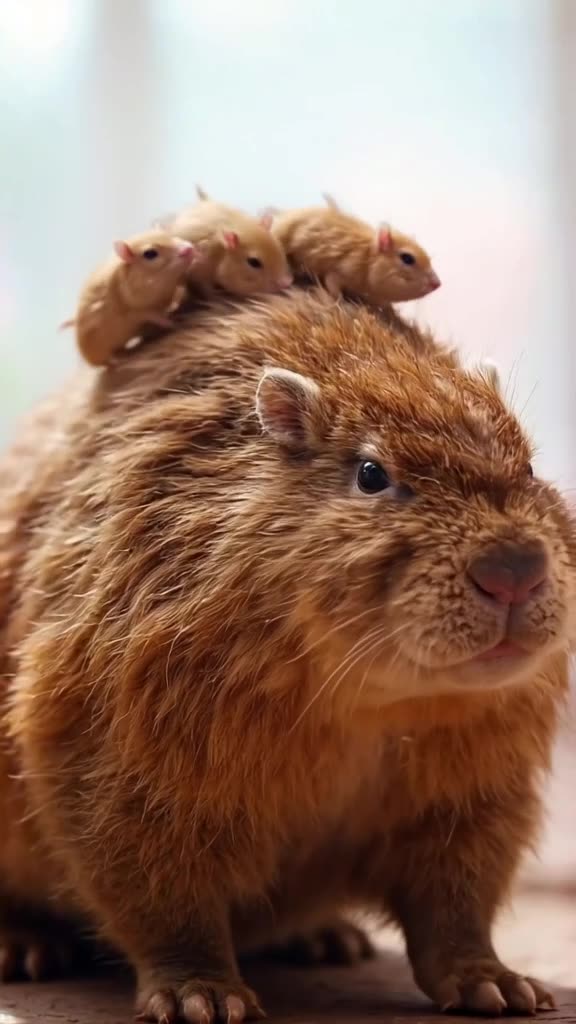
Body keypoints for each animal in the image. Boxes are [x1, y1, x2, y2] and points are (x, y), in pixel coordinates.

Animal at [1, 291, 569, 1022]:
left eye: (527, 466)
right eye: (370, 474)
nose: (513, 571)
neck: (366, 707)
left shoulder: (473, 790)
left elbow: (456, 906)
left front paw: (496, 984)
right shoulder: (121, 766)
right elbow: (161, 899)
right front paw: (201, 996)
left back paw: (326, 938)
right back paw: (22, 948)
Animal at [67, 231, 197, 367]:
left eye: (170, 235)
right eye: (150, 253)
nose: (190, 249)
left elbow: (180, 285)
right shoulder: (136, 310)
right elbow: (153, 316)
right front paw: (172, 322)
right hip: (101, 353)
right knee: (110, 359)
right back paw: (120, 359)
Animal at [162, 186, 293, 297]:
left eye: (280, 248)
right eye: (254, 262)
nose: (287, 282)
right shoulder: (199, 269)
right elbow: (205, 288)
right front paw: (216, 295)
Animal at [269, 199, 440, 304]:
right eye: (407, 258)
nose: (438, 284)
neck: (368, 256)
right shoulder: (341, 271)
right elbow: (333, 286)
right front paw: (333, 300)